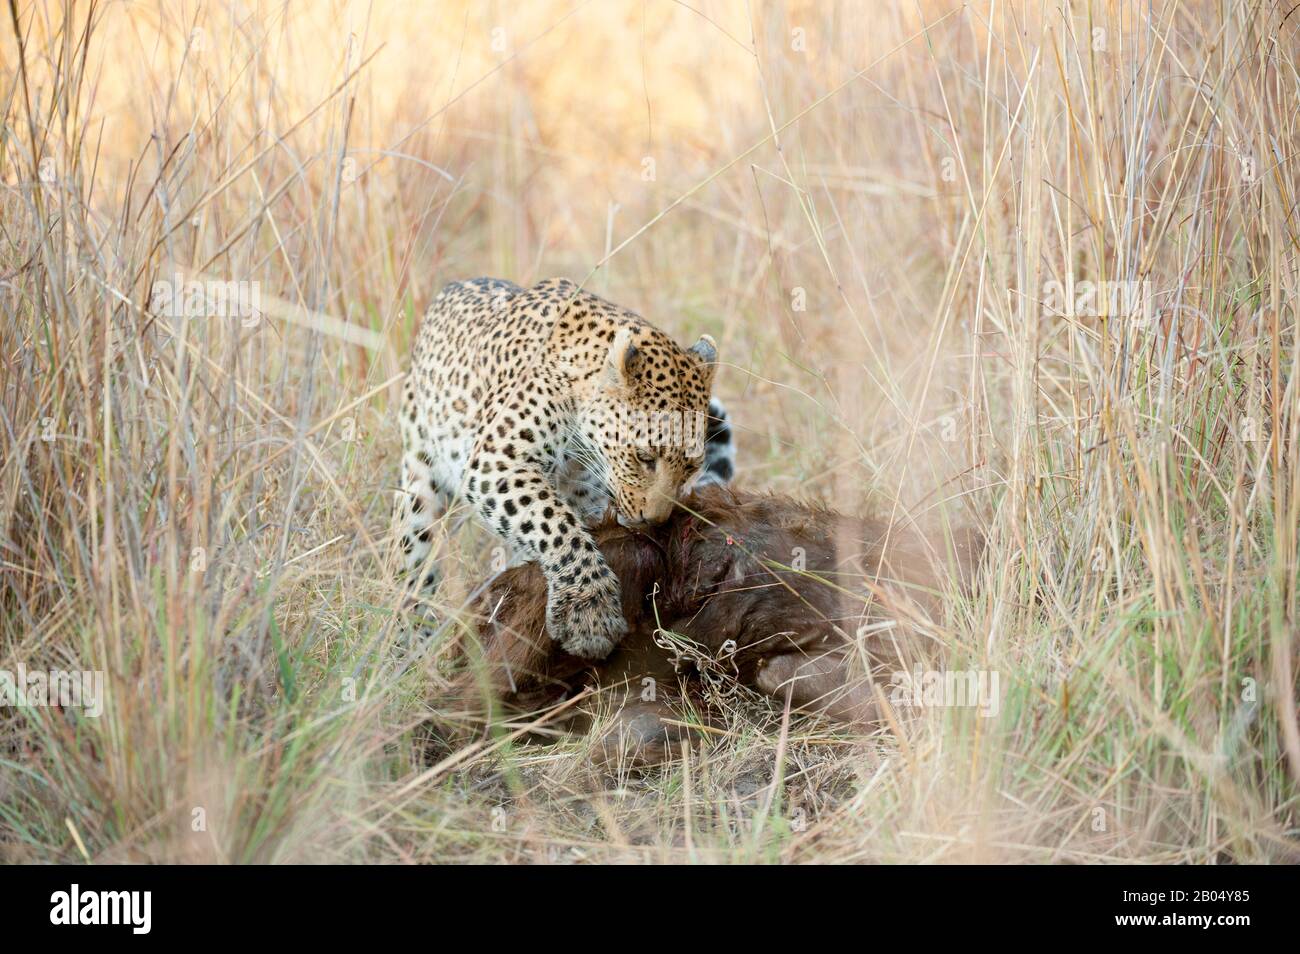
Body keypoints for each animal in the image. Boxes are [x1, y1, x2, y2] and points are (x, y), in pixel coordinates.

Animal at [396, 276, 735, 659]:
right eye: (645, 458)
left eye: (691, 467)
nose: (655, 521)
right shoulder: (496, 461)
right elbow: (554, 523)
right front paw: (590, 614)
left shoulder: (584, 491)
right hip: (418, 479)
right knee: (414, 561)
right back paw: (412, 641)